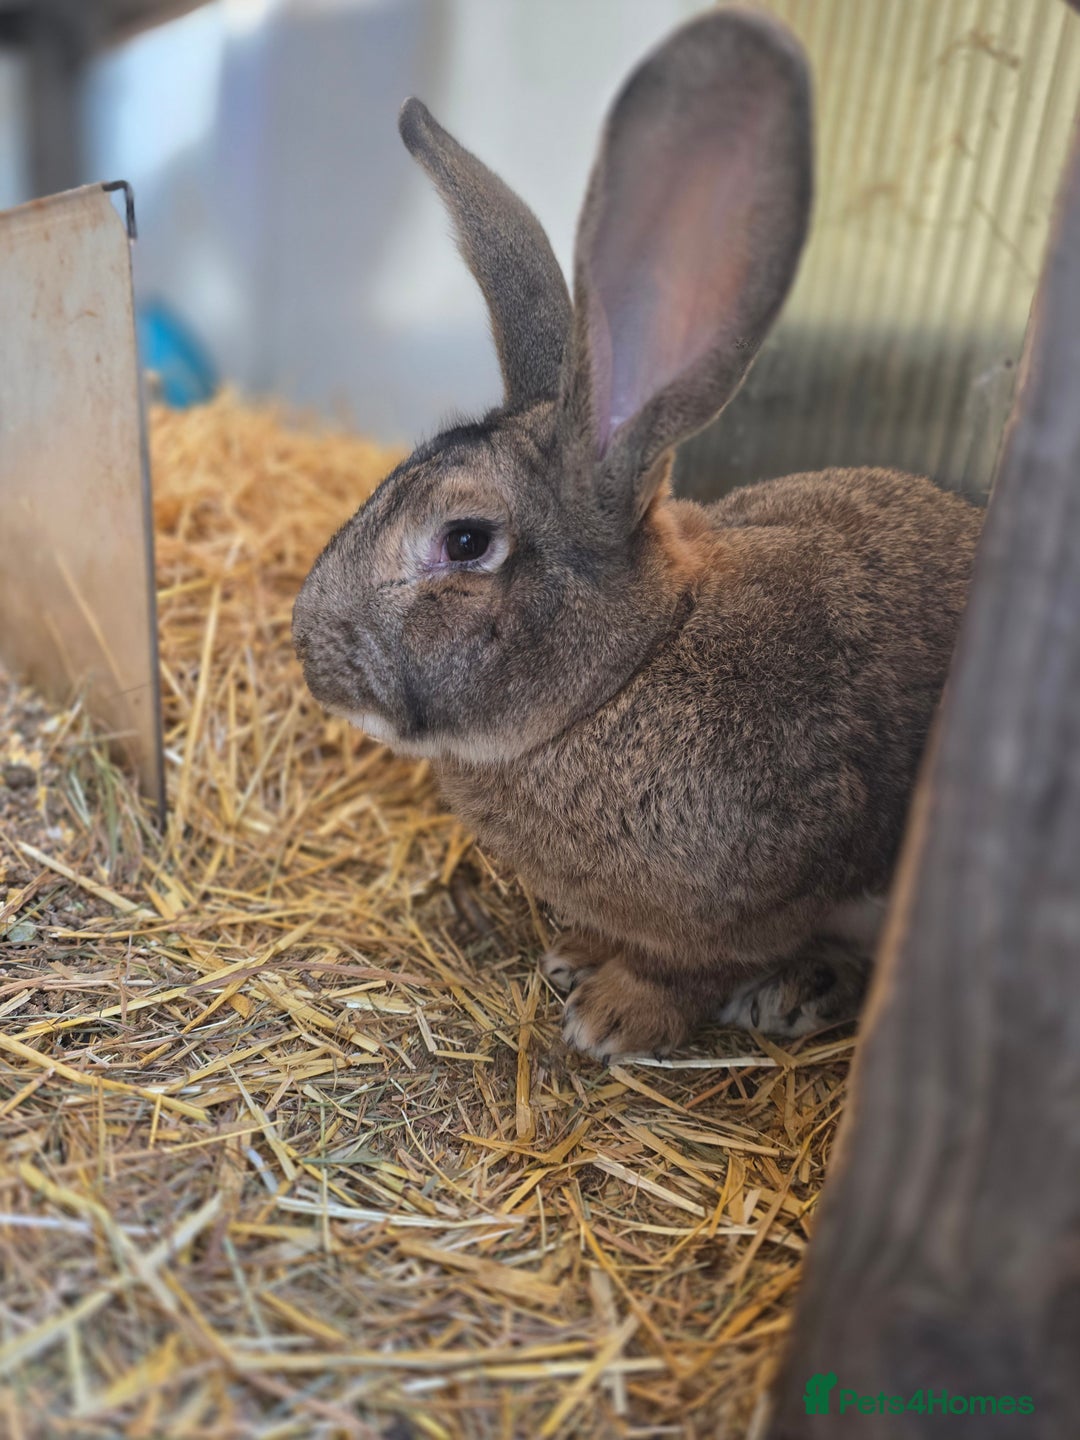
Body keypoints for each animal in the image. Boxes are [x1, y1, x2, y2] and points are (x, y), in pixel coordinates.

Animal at [292, 7, 983, 1062]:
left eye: (465, 543)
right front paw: (577, 953)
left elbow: (691, 968)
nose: (308, 652)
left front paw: (610, 1014)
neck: (631, 668)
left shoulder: (768, 891)